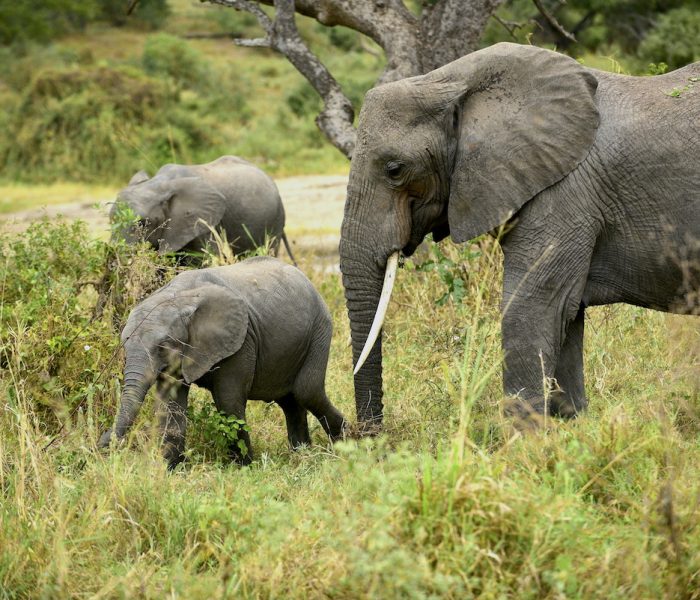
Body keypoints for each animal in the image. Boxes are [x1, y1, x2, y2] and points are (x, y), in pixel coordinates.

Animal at [100, 255, 346, 466]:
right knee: (290, 400)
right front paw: (170, 469)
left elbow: (228, 402)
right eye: (124, 347)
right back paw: (302, 454)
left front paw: (244, 467)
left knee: (306, 390)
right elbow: (171, 404)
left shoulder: (241, 340)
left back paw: (344, 441)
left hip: (320, 328)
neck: (179, 297)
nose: (103, 442)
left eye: (162, 347)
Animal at [340, 42, 700, 426]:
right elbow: (566, 316)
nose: (368, 434)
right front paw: (568, 425)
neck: (449, 80)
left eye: (395, 170)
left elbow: (530, 308)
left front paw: (521, 438)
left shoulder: (563, 195)